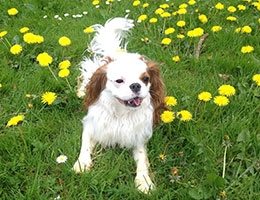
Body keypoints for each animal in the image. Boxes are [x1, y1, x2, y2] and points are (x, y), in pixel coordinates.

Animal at [73, 17, 167, 194]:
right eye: (119, 81)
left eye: (145, 79)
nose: (136, 85)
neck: (122, 112)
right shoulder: (91, 125)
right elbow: (85, 145)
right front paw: (82, 164)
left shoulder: (138, 137)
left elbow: (142, 159)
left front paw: (144, 181)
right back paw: (81, 90)